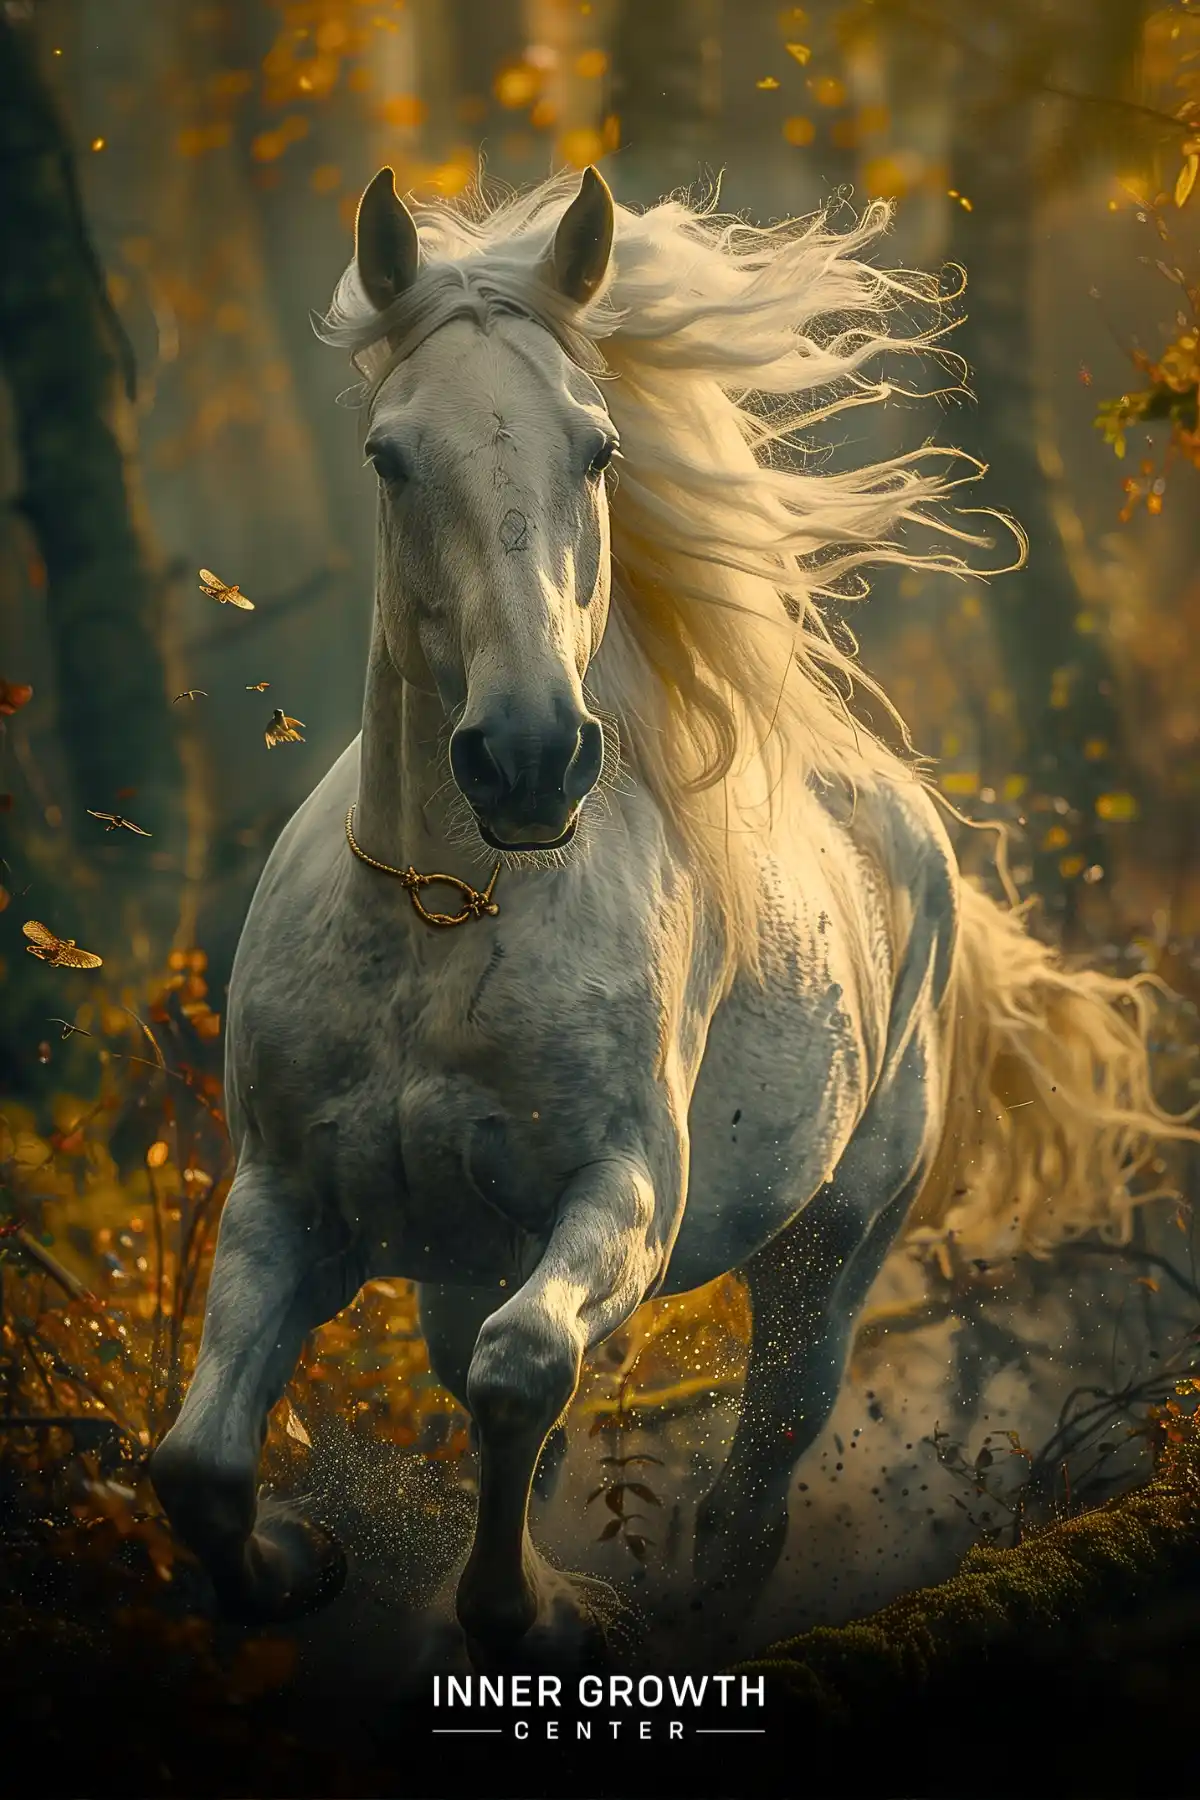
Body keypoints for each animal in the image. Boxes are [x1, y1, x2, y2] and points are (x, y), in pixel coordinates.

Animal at [154, 165, 1194, 1656]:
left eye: (597, 449)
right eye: (390, 457)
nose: (529, 757)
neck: (446, 918)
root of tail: (904, 815)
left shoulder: (624, 1198)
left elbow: (526, 1370)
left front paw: (541, 1618)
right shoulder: (288, 1206)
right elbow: (198, 1464)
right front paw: (301, 1567)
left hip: (827, 1263)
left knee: (746, 1496)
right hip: (463, 1263)